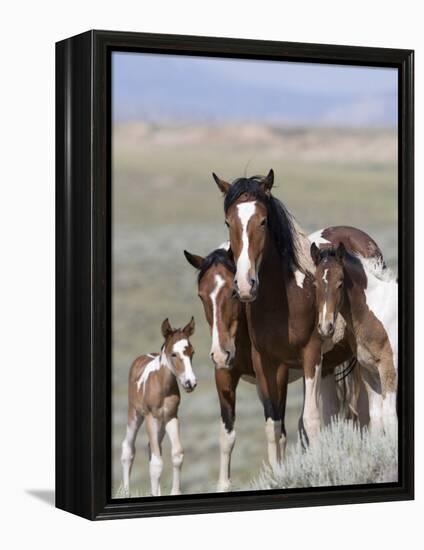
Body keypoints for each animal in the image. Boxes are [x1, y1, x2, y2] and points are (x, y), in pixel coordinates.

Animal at [121, 316, 197, 498]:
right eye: (174, 354)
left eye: (192, 353)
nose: (190, 383)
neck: (163, 387)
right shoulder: (151, 418)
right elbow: (156, 463)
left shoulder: (171, 417)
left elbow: (176, 454)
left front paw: (175, 492)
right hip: (135, 414)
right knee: (128, 449)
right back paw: (126, 493)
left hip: (161, 424)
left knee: (152, 448)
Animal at [312, 246, 398, 436]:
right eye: (315, 283)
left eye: (340, 283)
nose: (326, 327)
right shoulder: (369, 371)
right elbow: (376, 417)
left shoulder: (389, 368)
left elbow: (389, 417)